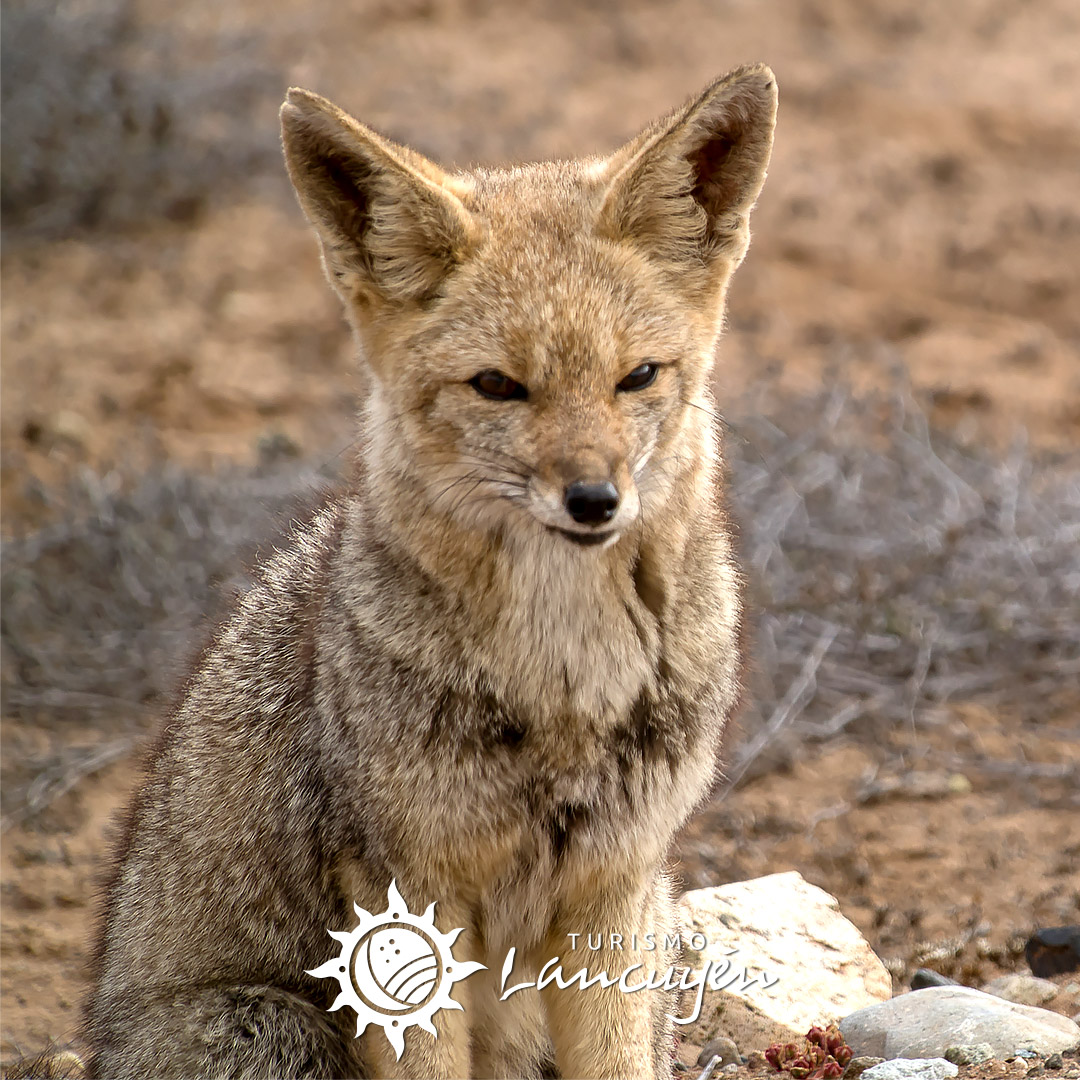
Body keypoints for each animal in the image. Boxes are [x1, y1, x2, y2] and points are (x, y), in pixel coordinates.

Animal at [81, 63, 777, 1079]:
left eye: (638, 376)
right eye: (498, 387)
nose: (594, 500)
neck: (564, 683)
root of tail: (101, 1031)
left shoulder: (615, 885)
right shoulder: (406, 897)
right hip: (282, 1029)